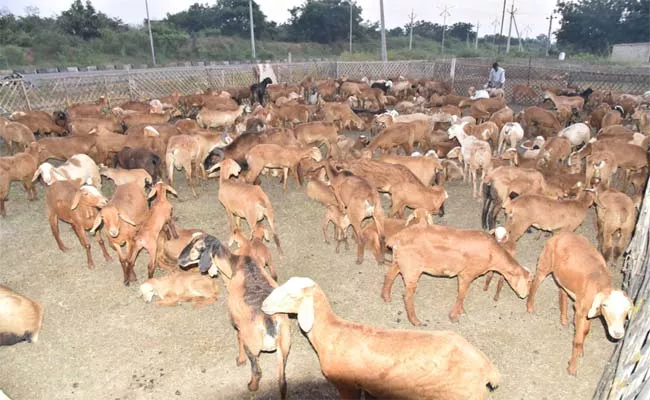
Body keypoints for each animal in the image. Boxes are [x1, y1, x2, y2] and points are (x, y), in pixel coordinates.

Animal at [177, 236, 288, 398]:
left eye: (196, 247)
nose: (179, 260)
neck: (235, 265)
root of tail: (269, 321)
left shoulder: (237, 322)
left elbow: (238, 337)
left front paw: (240, 360)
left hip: (253, 346)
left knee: (257, 372)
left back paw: (251, 387)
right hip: (284, 348)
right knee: (282, 382)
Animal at [382, 225, 528, 324]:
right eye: (528, 281)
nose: (525, 295)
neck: (493, 255)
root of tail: (396, 238)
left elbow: (462, 294)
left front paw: (461, 311)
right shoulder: (466, 274)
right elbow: (462, 295)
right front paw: (454, 316)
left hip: (398, 261)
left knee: (389, 276)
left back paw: (386, 297)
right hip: (412, 269)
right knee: (407, 295)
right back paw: (415, 321)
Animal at [528, 231, 628, 376]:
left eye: (627, 311)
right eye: (605, 305)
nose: (618, 333)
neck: (600, 283)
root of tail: (562, 233)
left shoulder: (588, 312)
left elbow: (585, 331)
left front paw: (580, 351)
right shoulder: (581, 311)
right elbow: (577, 339)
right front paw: (572, 367)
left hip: (565, 276)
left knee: (562, 291)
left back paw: (563, 318)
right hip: (544, 263)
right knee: (535, 284)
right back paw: (530, 306)